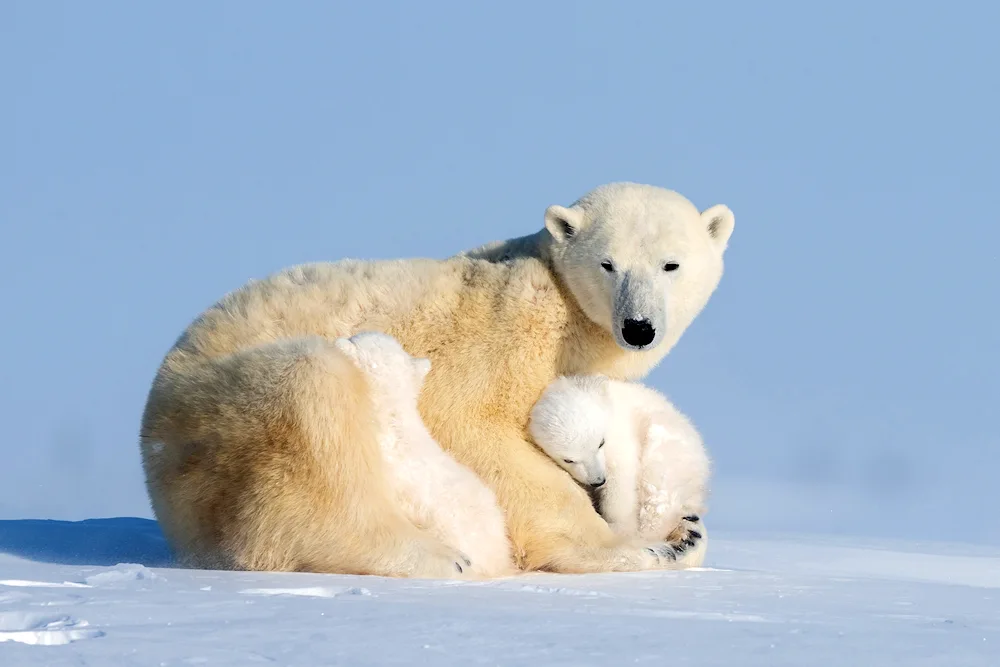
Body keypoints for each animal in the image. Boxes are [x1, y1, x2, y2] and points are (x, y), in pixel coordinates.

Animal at [532, 378, 712, 560]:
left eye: (601, 443)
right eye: (568, 459)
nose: (598, 481)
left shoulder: (620, 436)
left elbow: (621, 482)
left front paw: (618, 528)